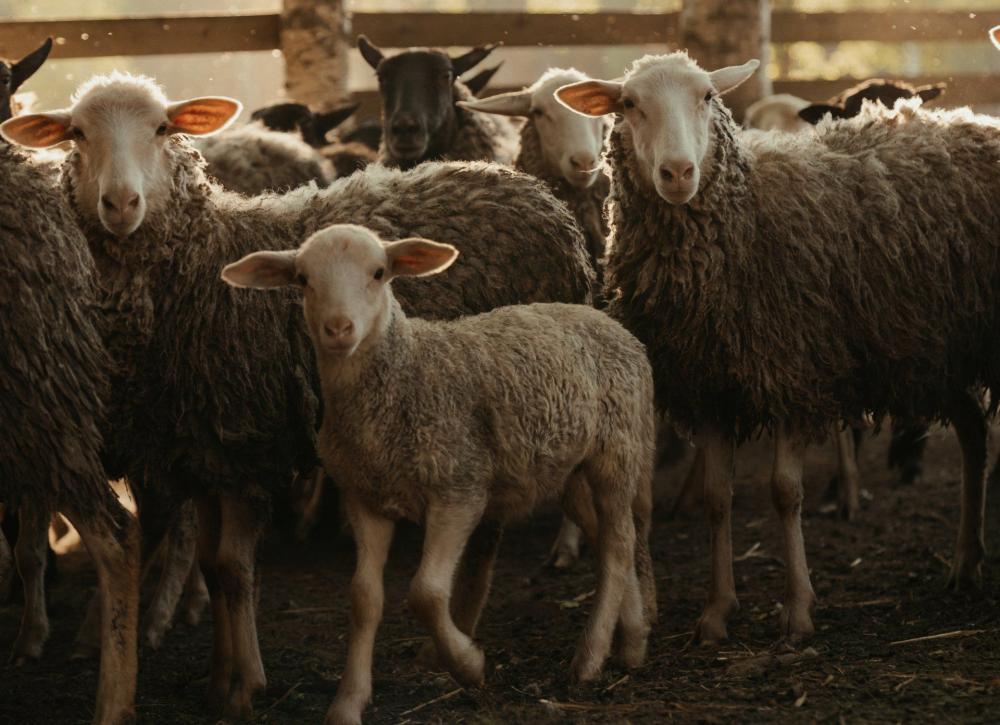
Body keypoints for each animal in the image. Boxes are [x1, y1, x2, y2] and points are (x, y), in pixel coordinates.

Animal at [1, 71, 593, 719]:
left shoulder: (247, 443)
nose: (120, 204)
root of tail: (531, 190)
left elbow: (233, 569)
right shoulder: (201, 444)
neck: (198, 268)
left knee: (486, 536)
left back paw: (458, 638)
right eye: (78, 134)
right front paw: (219, 677)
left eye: (161, 127)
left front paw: (245, 686)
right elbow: (211, 564)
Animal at [222, 223, 655, 725]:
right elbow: (364, 599)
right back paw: (633, 642)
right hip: (568, 471)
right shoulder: (365, 498)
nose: (338, 329)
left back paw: (589, 658)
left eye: (379, 272)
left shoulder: (458, 487)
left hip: (616, 450)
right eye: (303, 279)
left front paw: (468, 665)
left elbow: (426, 593)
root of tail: (608, 321)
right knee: (608, 537)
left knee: (619, 544)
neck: (403, 379)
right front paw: (348, 701)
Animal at [557, 51, 1000, 644]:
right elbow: (717, 497)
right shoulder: (709, 385)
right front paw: (717, 611)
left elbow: (785, 491)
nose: (677, 173)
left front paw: (798, 609)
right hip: (933, 350)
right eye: (629, 104)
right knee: (973, 434)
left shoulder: (791, 367)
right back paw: (966, 562)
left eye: (706, 96)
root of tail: (971, 119)